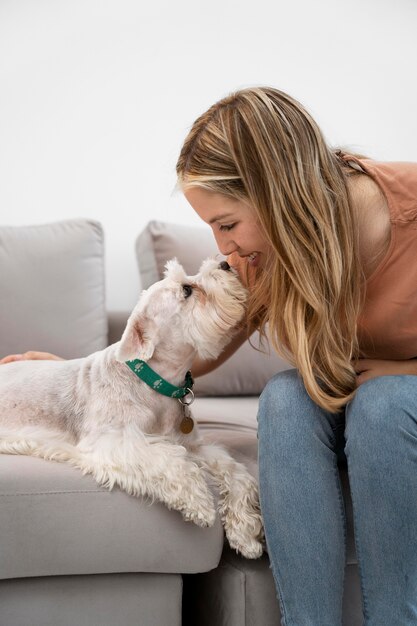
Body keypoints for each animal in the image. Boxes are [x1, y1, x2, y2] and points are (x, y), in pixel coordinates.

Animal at [0, 256, 264, 560]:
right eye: (186, 290)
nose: (225, 263)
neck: (153, 381)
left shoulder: (193, 445)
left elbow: (235, 470)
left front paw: (246, 536)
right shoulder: (114, 442)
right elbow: (170, 460)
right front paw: (199, 503)